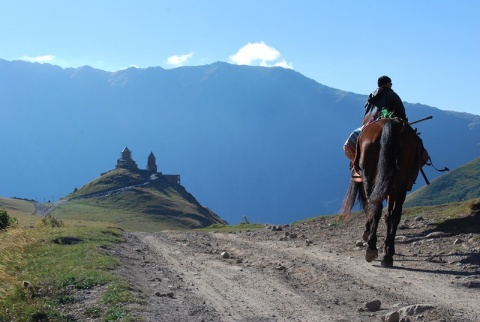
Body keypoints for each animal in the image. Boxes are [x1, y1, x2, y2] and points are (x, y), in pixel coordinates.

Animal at [342, 118, 420, 266]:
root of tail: (390, 123)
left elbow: (369, 208)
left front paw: (367, 232)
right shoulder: (392, 189)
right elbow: (388, 214)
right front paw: (386, 245)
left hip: (370, 177)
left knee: (375, 207)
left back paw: (371, 248)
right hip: (401, 183)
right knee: (395, 214)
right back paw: (388, 254)